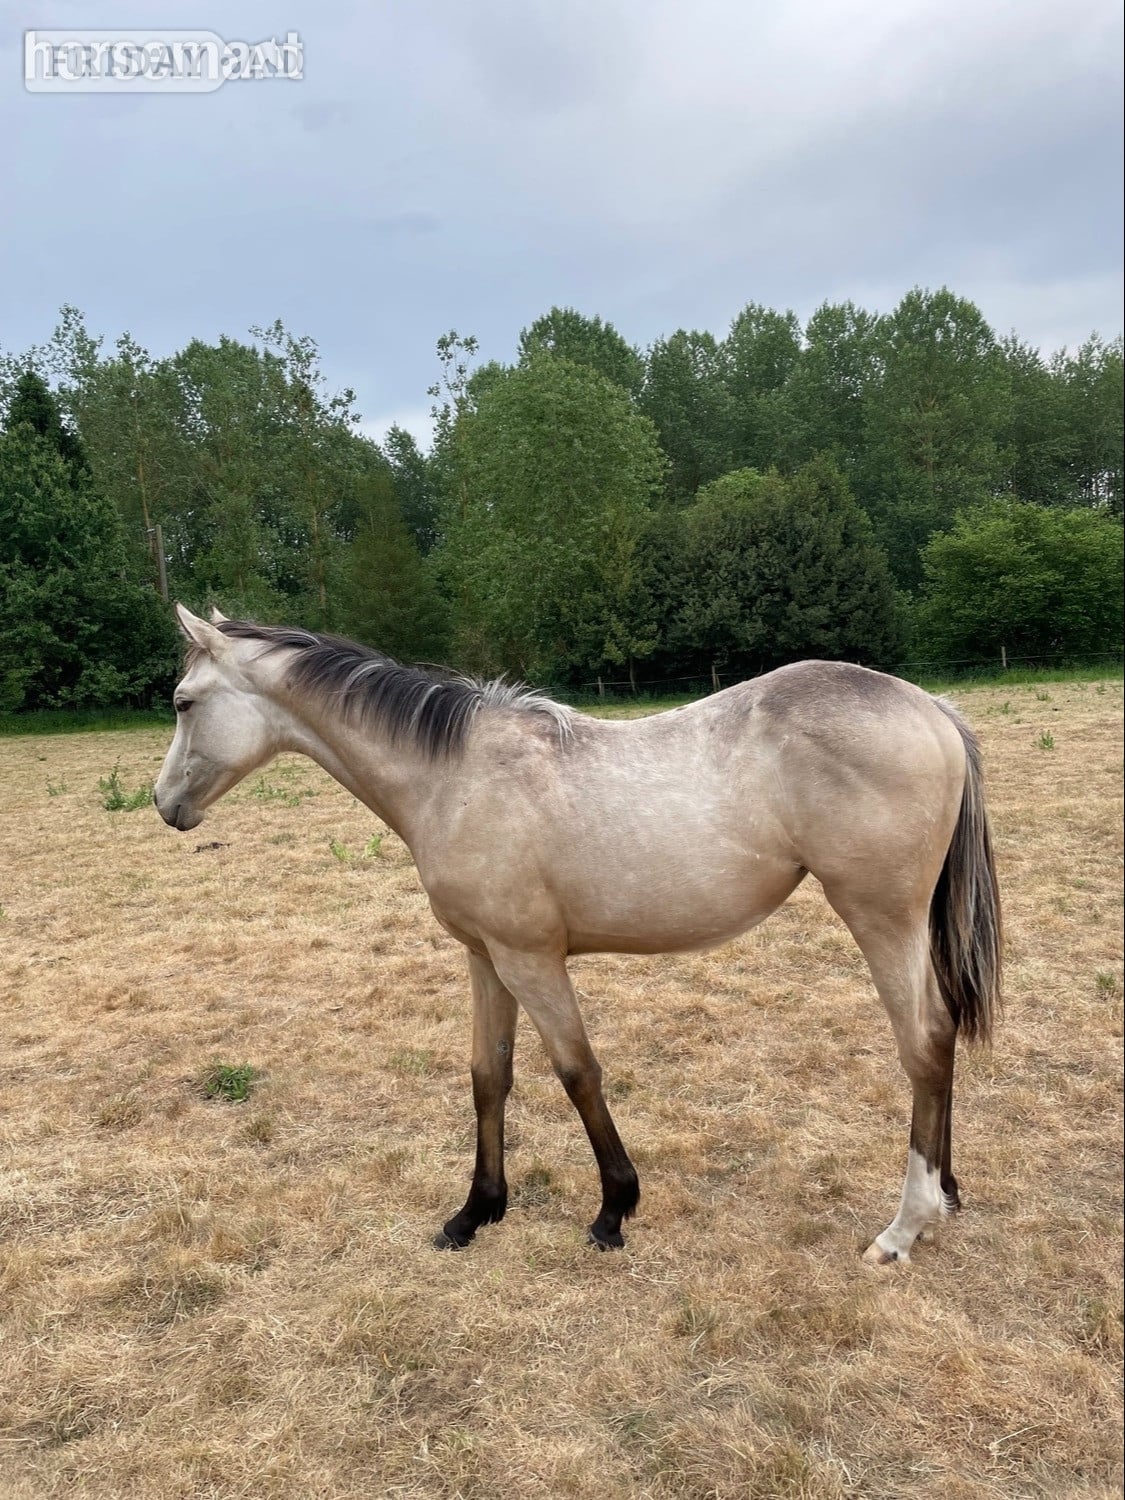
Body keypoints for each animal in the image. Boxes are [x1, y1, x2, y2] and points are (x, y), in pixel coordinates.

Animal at [155, 605, 1001, 1265]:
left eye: (184, 702)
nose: (166, 805)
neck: (455, 775)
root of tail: (930, 708)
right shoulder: (484, 958)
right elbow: (487, 1075)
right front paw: (475, 1213)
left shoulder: (530, 960)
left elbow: (576, 1073)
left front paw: (612, 1210)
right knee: (940, 1043)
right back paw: (945, 1197)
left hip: (880, 919)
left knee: (923, 1043)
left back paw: (903, 1227)